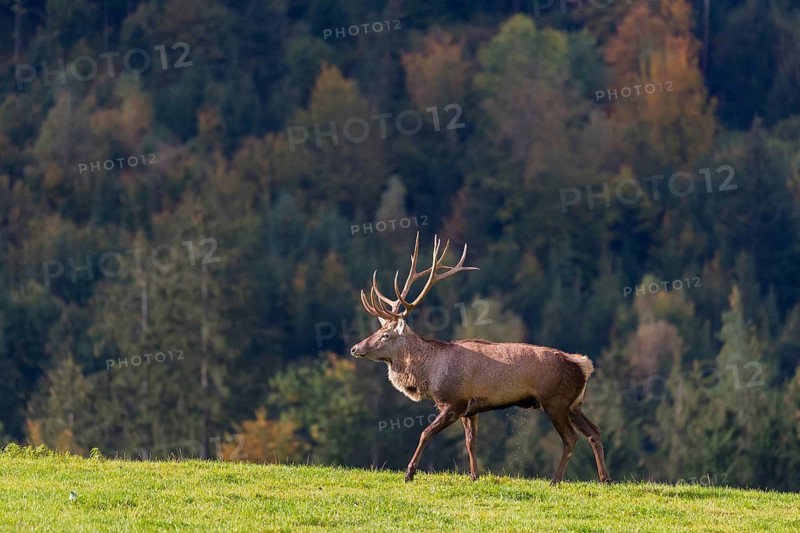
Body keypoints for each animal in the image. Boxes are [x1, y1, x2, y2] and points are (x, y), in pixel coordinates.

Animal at [350, 233, 610, 484]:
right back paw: (604, 479)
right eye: (377, 330)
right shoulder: (470, 408)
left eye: (385, 334)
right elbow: (470, 442)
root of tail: (584, 365)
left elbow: (425, 432)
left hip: (554, 401)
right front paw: (475, 476)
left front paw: (409, 473)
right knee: (594, 431)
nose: (354, 348)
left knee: (571, 438)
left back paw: (555, 480)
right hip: (574, 403)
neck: (430, 375)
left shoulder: (453, 402)